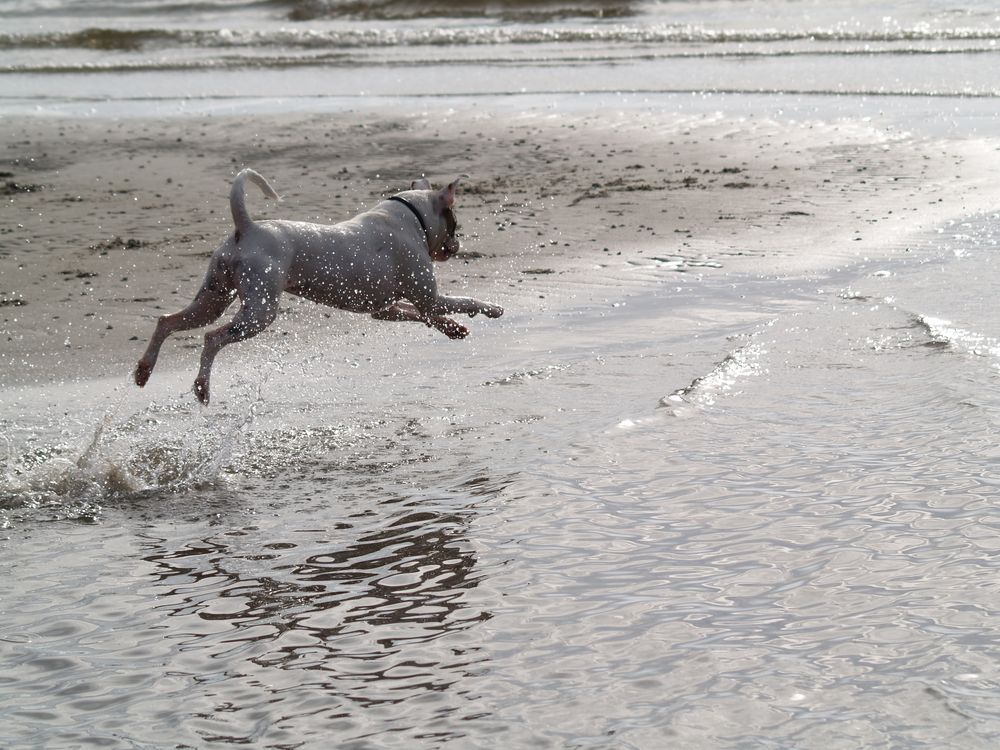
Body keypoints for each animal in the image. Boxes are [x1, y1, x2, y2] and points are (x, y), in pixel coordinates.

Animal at [135, 170, 500, 406]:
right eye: (455, 223)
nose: (457, 245)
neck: (410, 217)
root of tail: (247, 227)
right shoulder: (430, 297)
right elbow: (464, 300)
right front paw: (492, 309)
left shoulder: (388, 310)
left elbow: (423, 315)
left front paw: (453, 328)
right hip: (258, 312)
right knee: (212, 338)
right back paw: (201, 387)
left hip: (213, 296)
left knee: (167, 322)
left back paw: (143, 370)